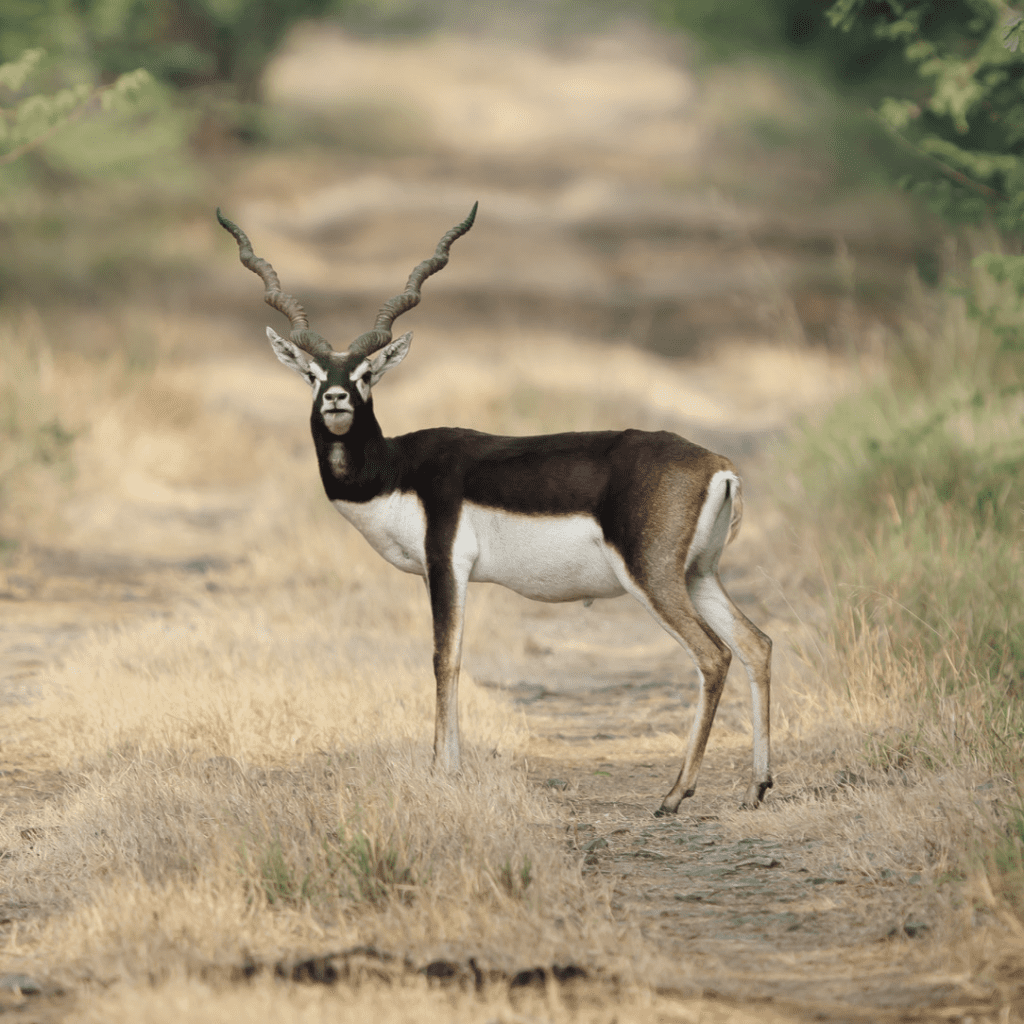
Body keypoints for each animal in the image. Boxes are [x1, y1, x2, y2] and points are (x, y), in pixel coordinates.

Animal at [220, 203, 770, 811]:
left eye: (365, 373)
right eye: (314, 375)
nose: (337, 400)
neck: (395, 468)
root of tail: (717, 464)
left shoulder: (445, 565)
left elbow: (445, 658)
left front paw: (443, 771)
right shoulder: (439, 573)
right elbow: (452, 658)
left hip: (651, 577)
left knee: (713, 655)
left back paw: (676, 793)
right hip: (698, 574)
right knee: (757, 644)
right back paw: (756, 788)